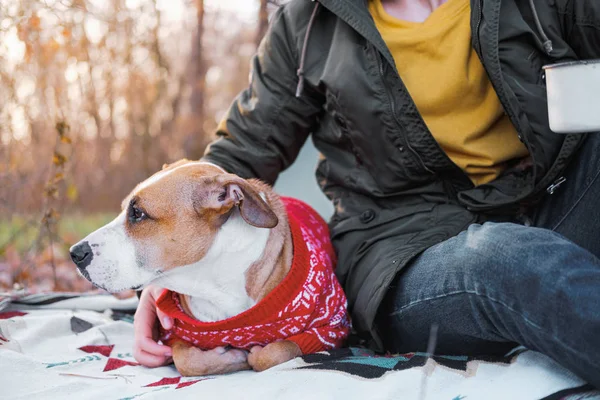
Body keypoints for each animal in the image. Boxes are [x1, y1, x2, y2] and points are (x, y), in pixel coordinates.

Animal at [70, 159, 352, 376]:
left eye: (138, 213)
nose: (75, 253)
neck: (214, 285)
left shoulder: (331, 329)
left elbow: (276, 352)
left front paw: (253, 354)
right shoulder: (173, 336)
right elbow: (187, 360)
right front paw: (229, 359)